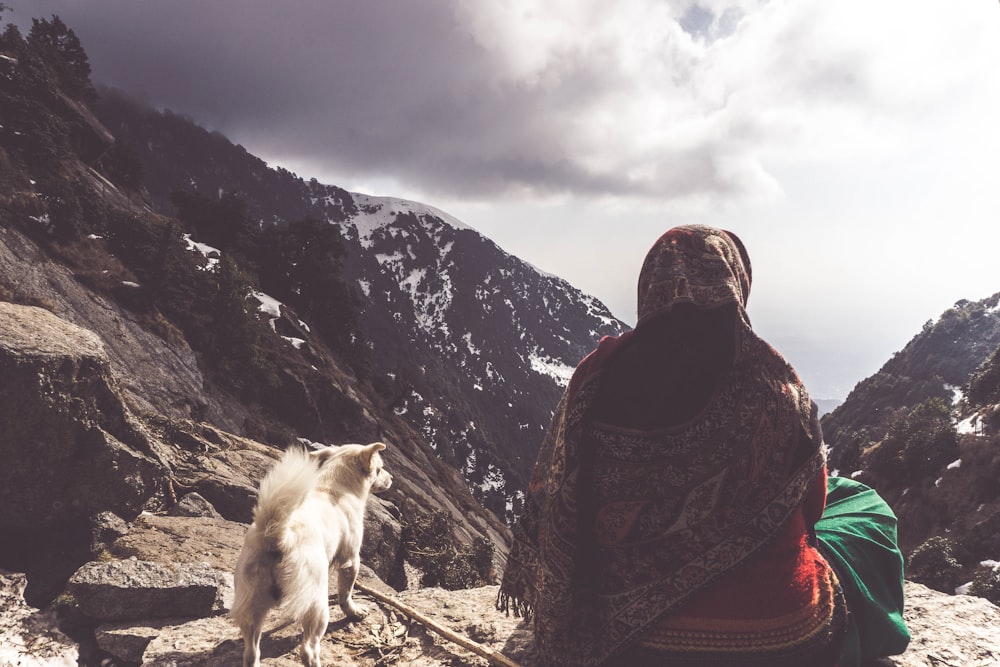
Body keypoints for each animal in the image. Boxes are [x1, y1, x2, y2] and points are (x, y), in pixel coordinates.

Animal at [232, 444, 392, 667]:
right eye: (380, 468)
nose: (391, 478)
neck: (335, 487)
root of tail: (276, 536)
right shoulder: (351, 560)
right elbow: (345, 594)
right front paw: (354, 612)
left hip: (253, 606)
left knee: (251, 652)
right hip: (317, 606)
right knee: (307, 649)